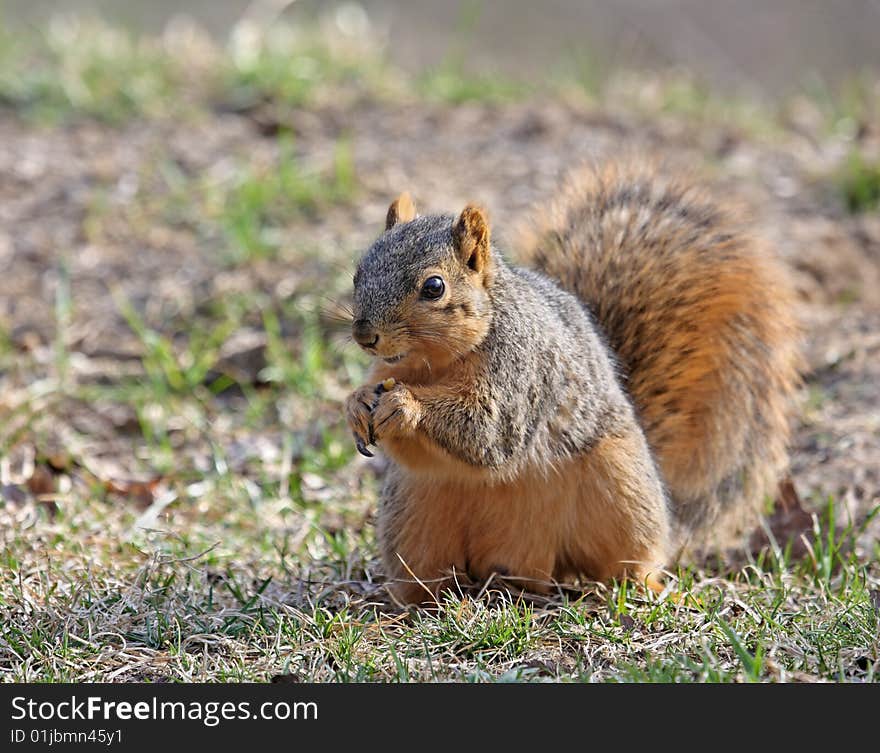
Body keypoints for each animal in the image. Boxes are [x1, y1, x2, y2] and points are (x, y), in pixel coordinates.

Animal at [348, 160, 800, 604]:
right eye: (358, 273)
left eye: (434, 287)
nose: (365, 336)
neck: (436, 363)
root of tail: (523, 562)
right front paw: (356, 404)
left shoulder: (522, 373)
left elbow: (489, 430)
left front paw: (405, 405)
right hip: (413, 515)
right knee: (429, 575)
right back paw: (421, 603)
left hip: (622, 493)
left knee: (629, 561)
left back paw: (649, 587)